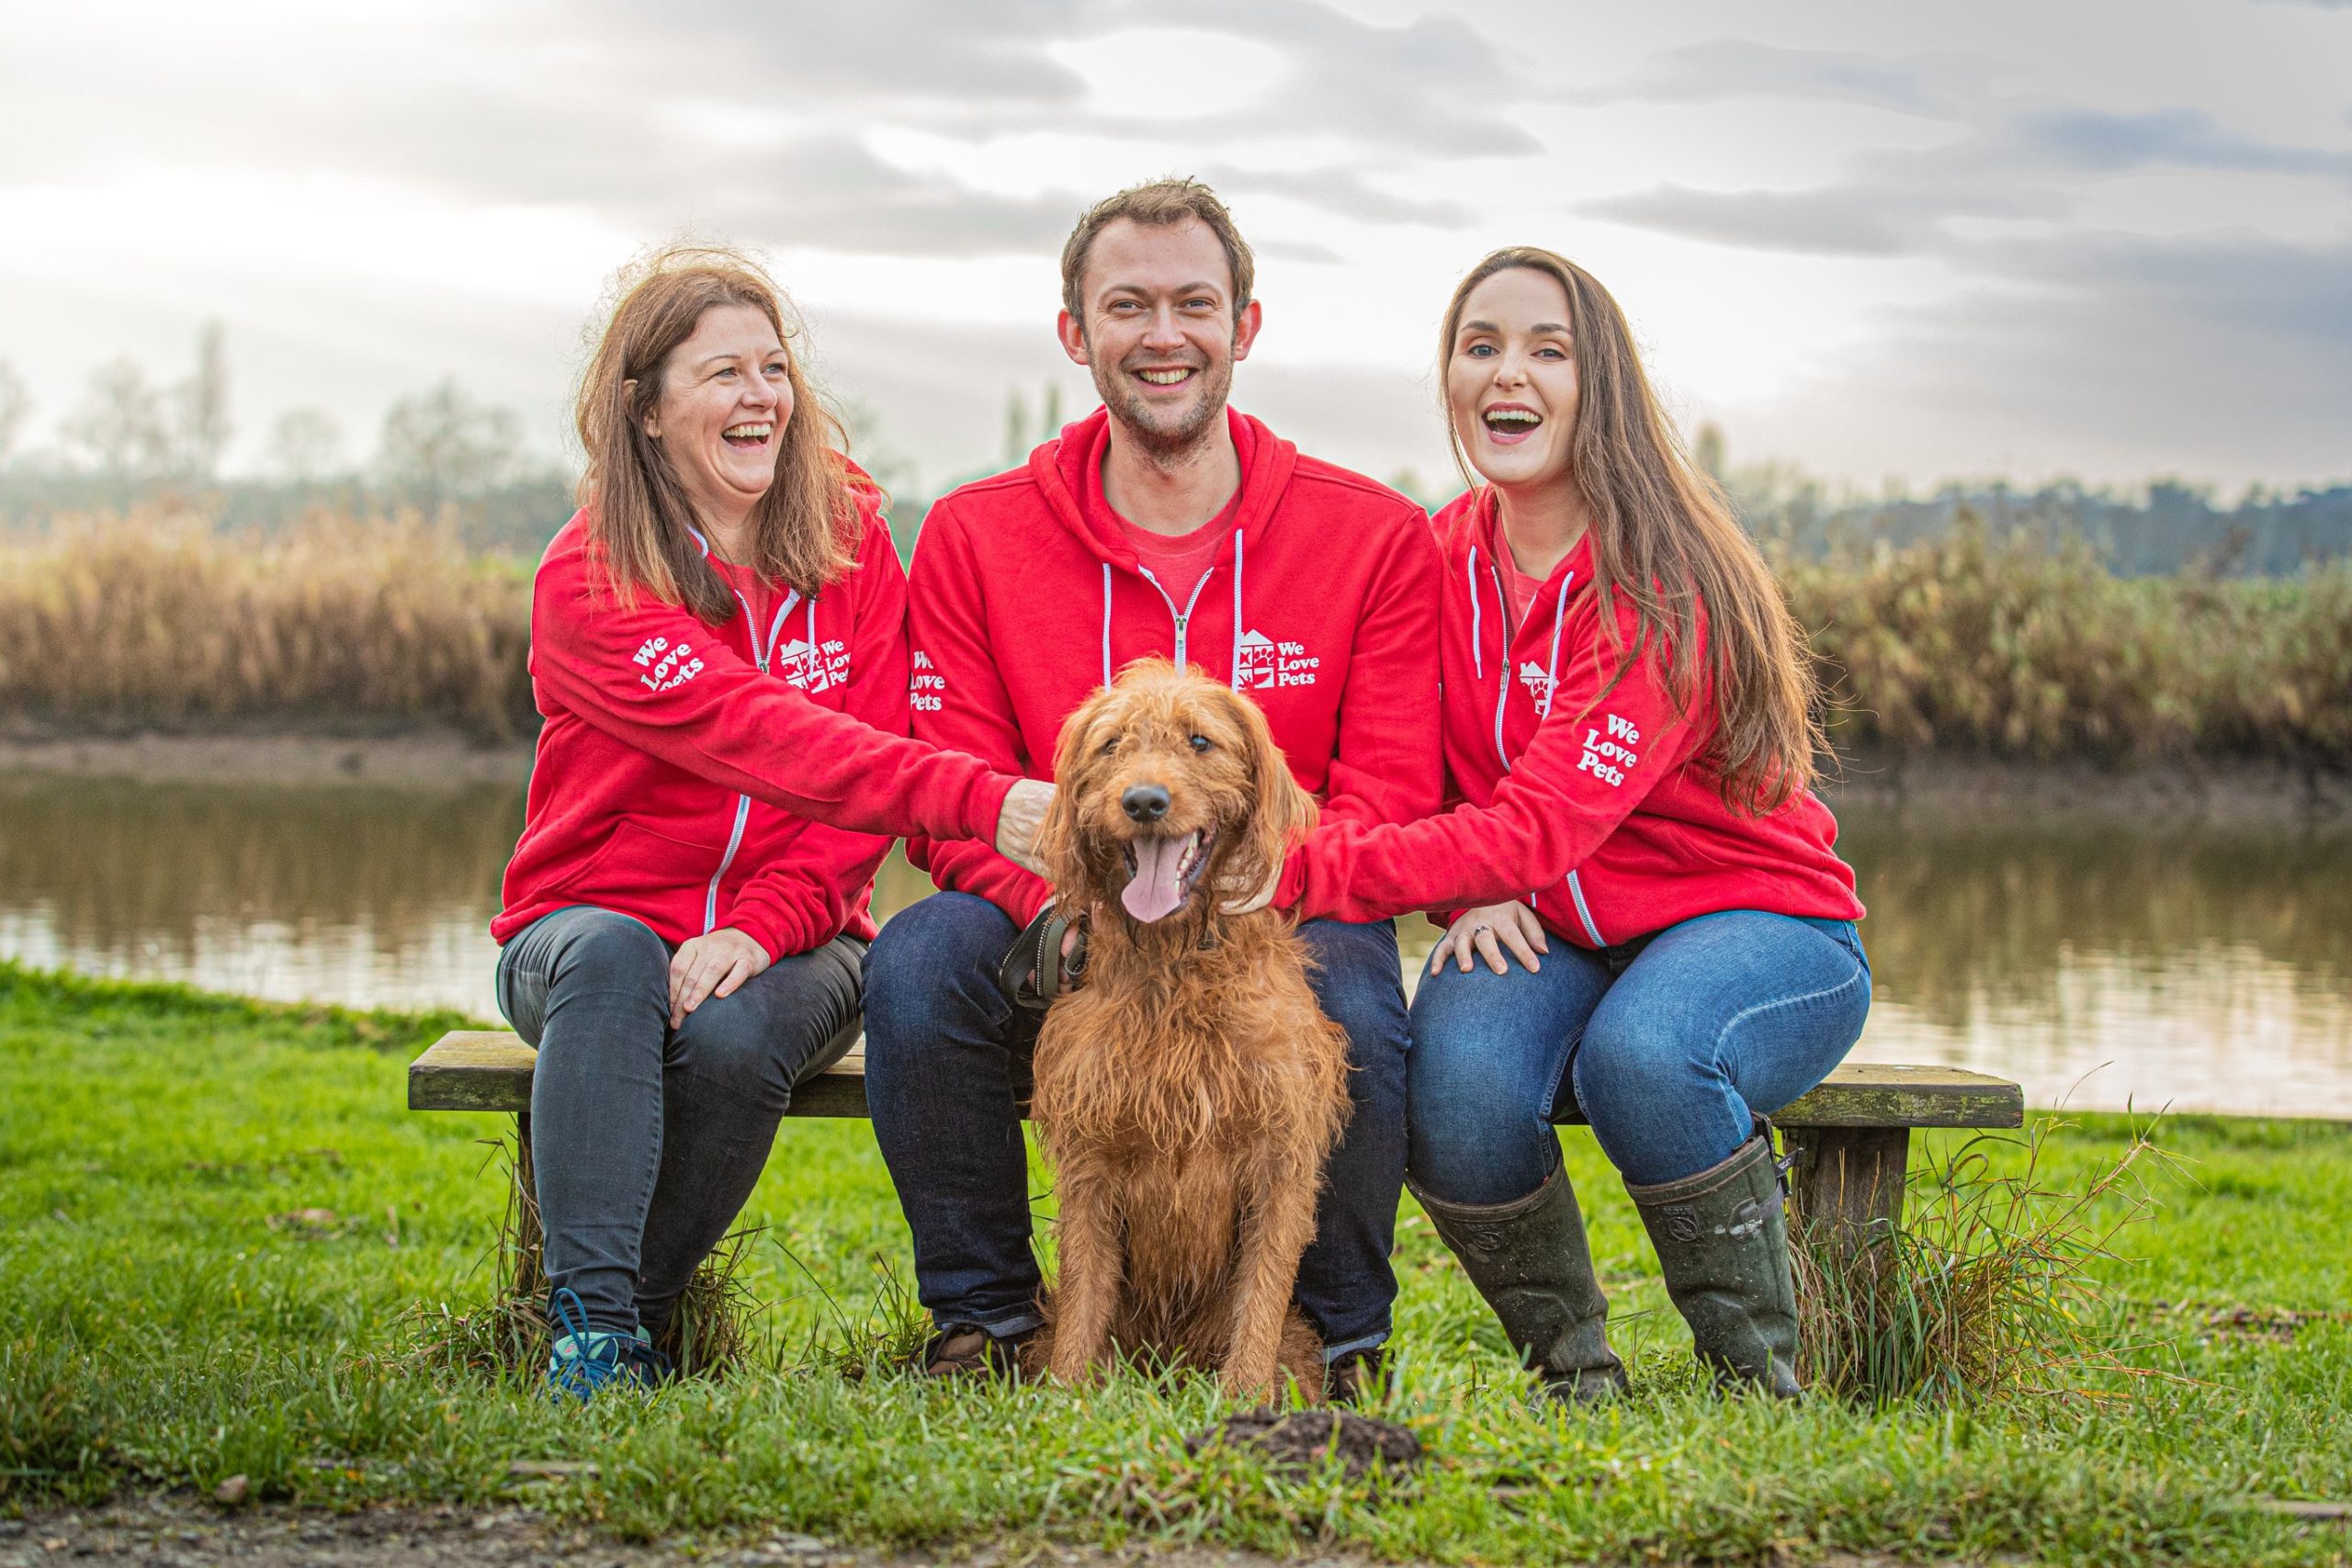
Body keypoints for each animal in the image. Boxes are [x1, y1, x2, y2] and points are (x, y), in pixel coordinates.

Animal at [1035, 658, 1354, 1401]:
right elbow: (1084, 1292)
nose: (1145, 801)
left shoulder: (1279, 1159)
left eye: (1200, 741)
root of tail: (1167, 1358)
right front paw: (1067, 1398)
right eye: (1113, 744)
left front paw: (1245, 1401)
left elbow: (1261, 1297)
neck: (1174, 964)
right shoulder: (1091, 1161)